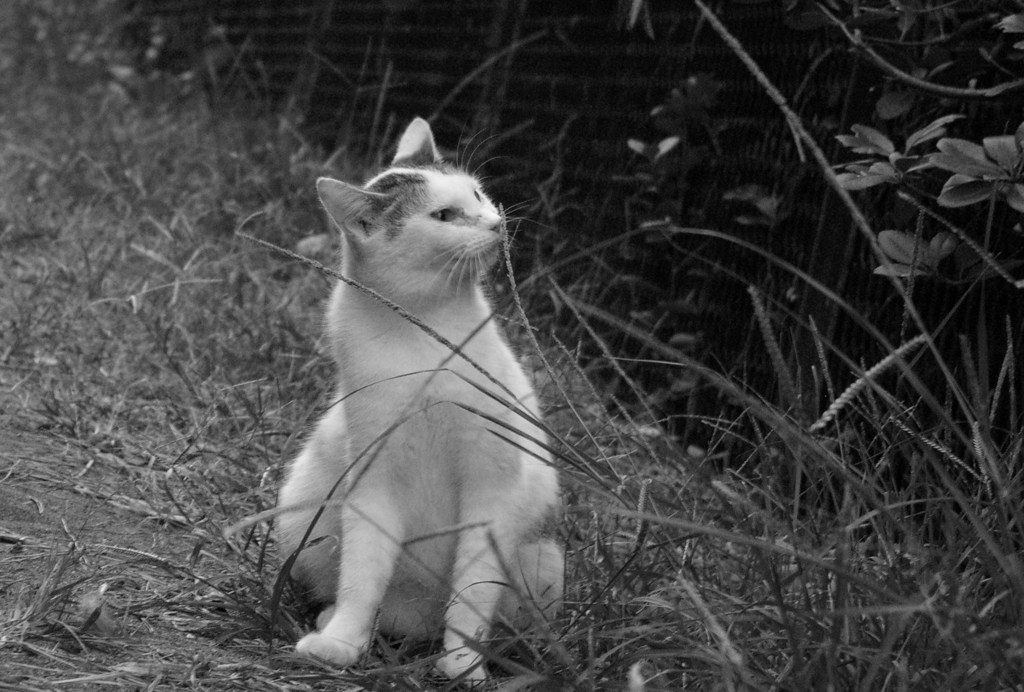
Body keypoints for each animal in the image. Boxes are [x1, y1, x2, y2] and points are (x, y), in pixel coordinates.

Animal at [274, 118, 561, 679]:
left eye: (477, 194)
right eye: (443, 216)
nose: (495, 223)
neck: (426, 339)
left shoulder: (491, 487)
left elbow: (472, 593)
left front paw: (464, 666)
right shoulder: (372, 484)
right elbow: (362, 576)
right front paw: (341, 643)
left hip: (545, 562)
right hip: (301, 521)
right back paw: (331, 620)